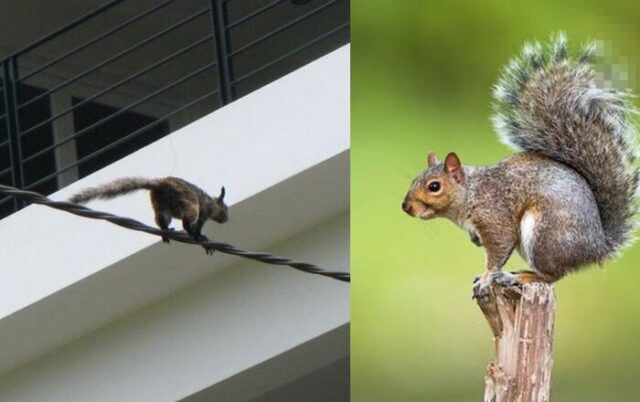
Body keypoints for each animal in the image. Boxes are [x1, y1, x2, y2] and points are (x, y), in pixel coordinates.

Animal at [69, 177, 228, 253]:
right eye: (225, 209)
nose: (227, 219)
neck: (212, 203)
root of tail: (162, 184)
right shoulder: (205, 211)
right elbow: (198, 227)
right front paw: (201, 238)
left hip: (160, 205)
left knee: (161, 220)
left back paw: (165, 231)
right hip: (188, 201)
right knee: (187, 221)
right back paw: (187, 231)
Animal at [402, 33, 636, 300]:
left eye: (434, 186)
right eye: (414, 180)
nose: (406, 207)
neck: (471, 194)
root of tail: (597, 247)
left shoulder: (495, 218)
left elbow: (499, 249)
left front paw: (486, 278)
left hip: (544, 235)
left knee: (552, 275)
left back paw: (517, 277)